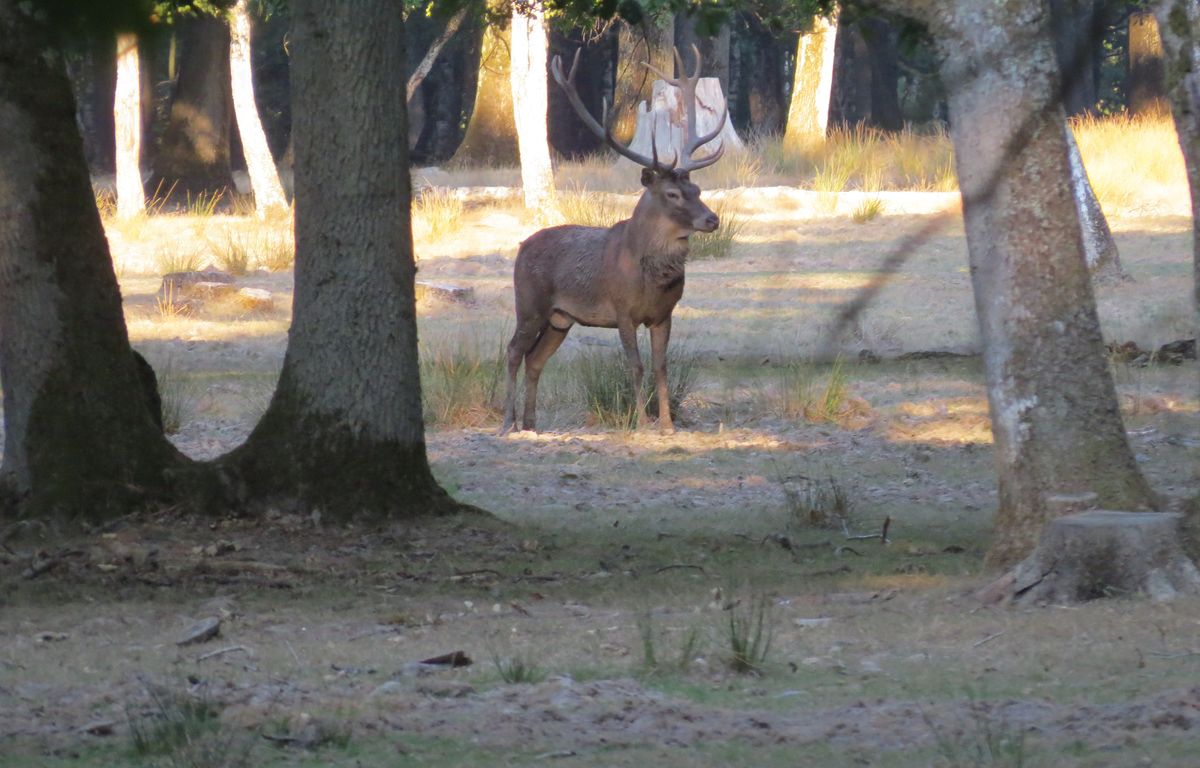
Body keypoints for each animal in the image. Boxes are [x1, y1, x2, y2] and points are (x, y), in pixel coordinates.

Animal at [500, 45, 727, 435]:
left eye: (697, 189)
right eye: (672, 194)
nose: (711, 219)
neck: (650, 278)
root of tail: (521, 246)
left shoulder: (664, 314)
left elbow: (661, 367)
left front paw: (668, 424)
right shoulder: (622, 311)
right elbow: (634, 366)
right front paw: (642, 423)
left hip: (561, 317)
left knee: (536, 359)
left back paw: (531, 423)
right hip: (529, 302)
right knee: (514, 351)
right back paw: (508, 422)